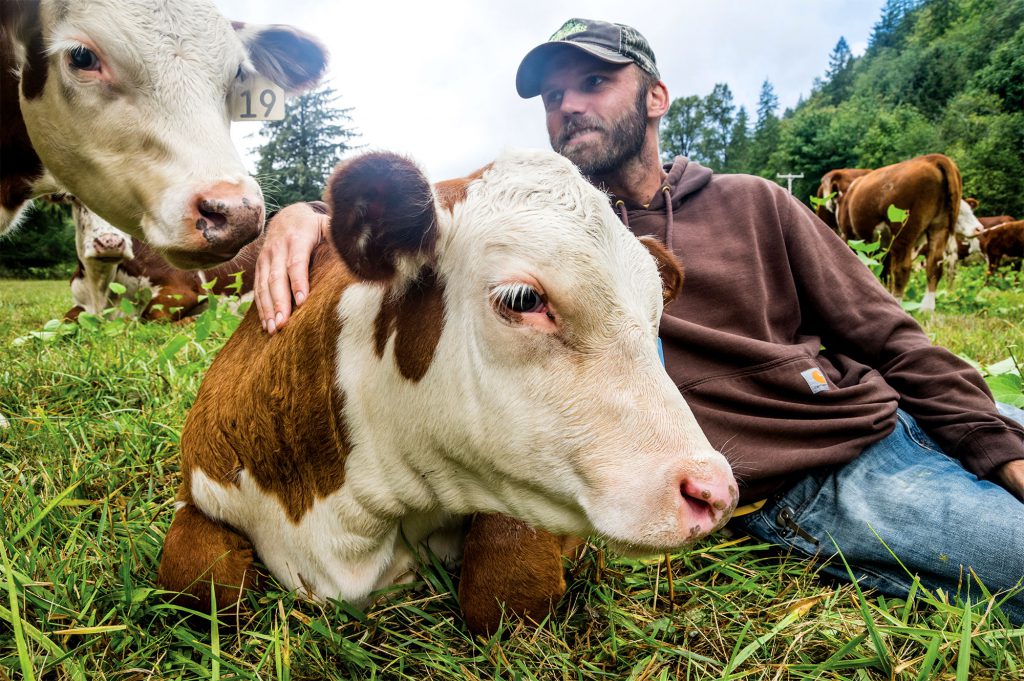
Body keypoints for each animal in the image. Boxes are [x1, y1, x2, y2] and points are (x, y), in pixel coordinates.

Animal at [155, 147, 741, 626]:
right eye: (523, 299)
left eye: (655, 313)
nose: (713, 491)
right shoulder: (201, 482)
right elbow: (196, 582)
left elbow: (503, 591)